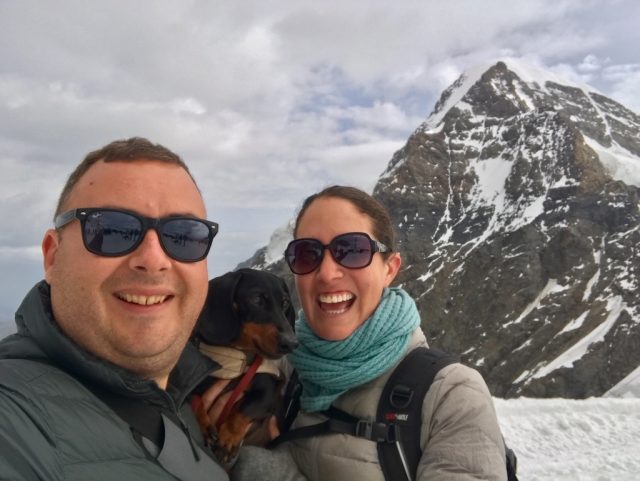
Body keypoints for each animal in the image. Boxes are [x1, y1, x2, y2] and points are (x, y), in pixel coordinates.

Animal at [191, 266, 298, 464]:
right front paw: (204, 426)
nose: (292, 343)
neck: (235, 358)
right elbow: (194, 399)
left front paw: (228, 439)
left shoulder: (267, 393)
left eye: (285, 302)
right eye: (256, 299)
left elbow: (243, 407)